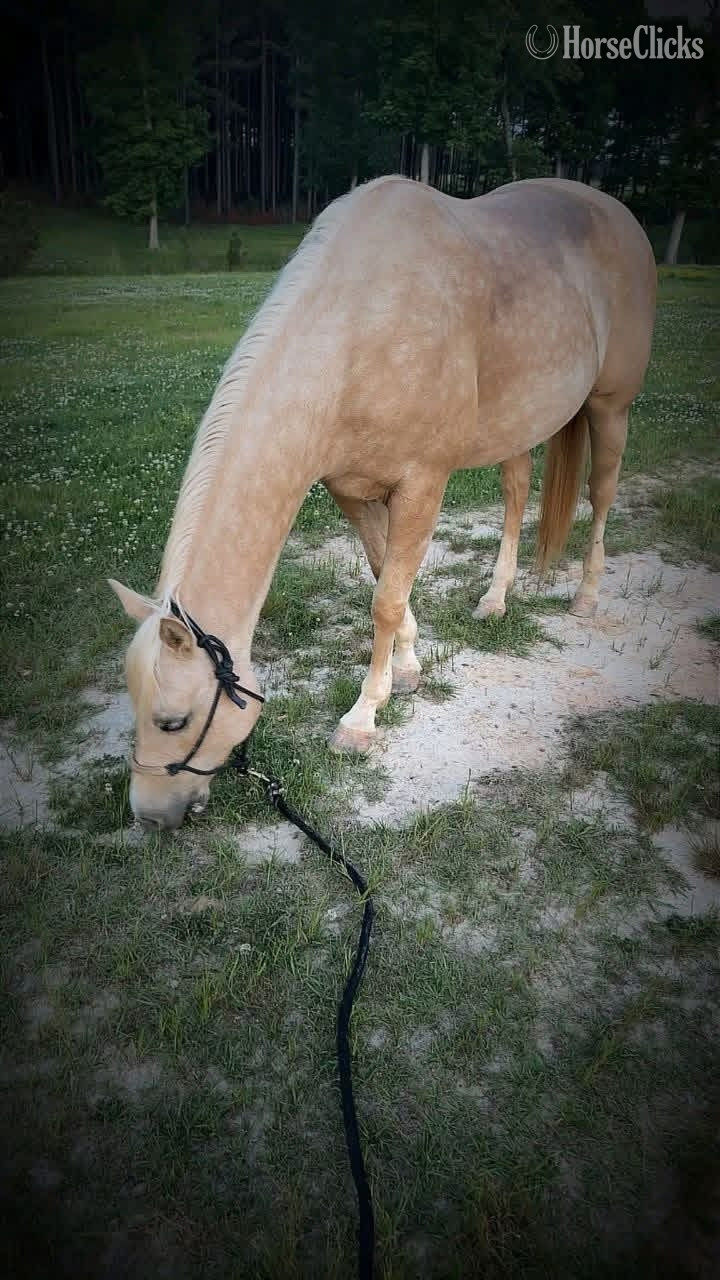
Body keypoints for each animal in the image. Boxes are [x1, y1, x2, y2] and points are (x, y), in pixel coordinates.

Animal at [109, 175, 656, 830]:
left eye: (174, 721)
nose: (148, 817)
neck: (362, 328)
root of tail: (617, 213)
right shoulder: (351, 488)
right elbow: (383, 573)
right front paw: (410, 669)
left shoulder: (423, 483)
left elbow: (386, 601)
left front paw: (363, 717)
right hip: (518, 424)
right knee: (516, 492)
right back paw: (495, 599)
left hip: (610, 406)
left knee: (602, 494)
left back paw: (587, 594)